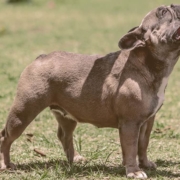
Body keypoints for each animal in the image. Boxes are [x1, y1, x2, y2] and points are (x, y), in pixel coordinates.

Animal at [0, 3, 180, 179]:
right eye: (163, 12)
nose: (175, 5)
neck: (147, 62)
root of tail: (40, 58)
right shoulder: (130, 123)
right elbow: (131, 148)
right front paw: (134, 171)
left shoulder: (147, 121)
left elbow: (143, 144)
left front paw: (145, 164)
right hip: (24, 112)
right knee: (6, 137)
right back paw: (5, 164)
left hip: (66, 115)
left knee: (65, 135)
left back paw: (75, 159)